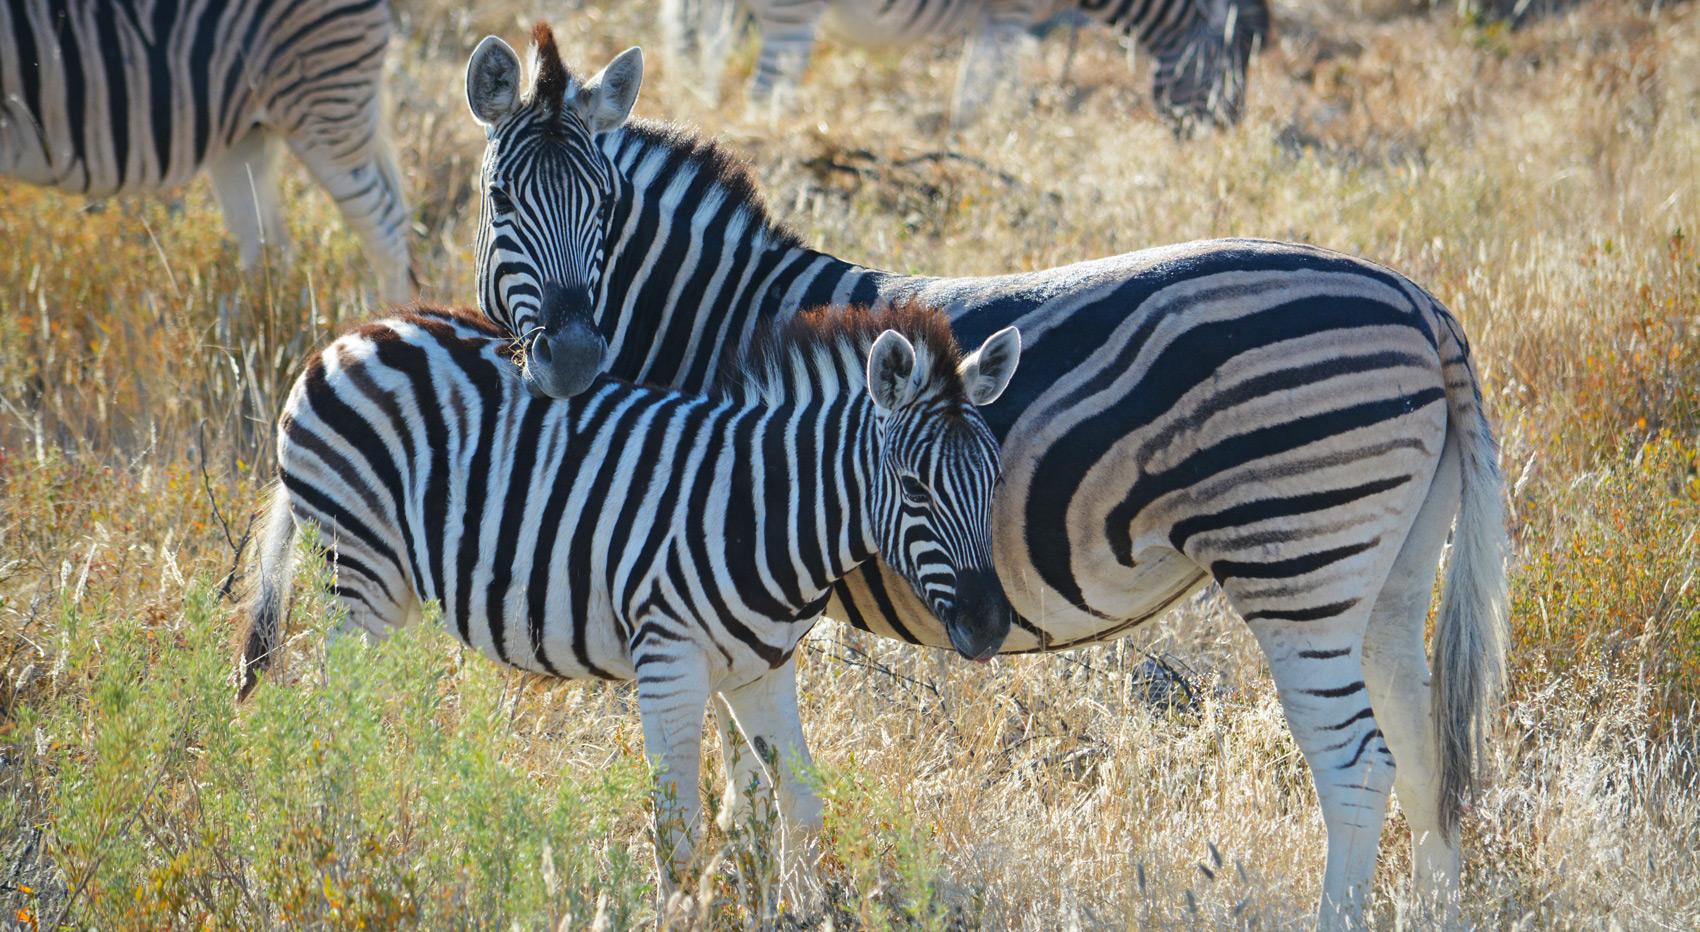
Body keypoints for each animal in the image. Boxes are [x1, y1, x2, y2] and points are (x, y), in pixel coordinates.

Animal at [236, 300, 1022, 881]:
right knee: (334, 723)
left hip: (390, 589)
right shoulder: (669, 664)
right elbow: (679, 834)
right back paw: (342, 849)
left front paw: (799, 909)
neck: (765, 512)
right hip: (355, 574)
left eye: (996, 480)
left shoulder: (763, 670)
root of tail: (350, 336)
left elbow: (800, 804)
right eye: (914, 488)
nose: (989, 628)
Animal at [464, 25, 1509, 926]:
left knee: (1358, 769)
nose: (570, 360)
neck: (714, 322)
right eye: (503, 201)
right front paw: (755, 895)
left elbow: (738, 779)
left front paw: (745, 898)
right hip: (1388, 570)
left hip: (1295, 555)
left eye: (604, 209)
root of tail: (1417, 302)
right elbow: (745, 782)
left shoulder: (699, 565)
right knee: (1426, 757)